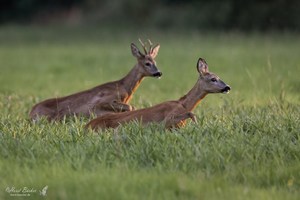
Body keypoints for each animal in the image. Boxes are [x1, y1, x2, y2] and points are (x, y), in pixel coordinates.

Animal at [29, 39, 162, 120]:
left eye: (155, 62)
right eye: (147, 63)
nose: (159, 72)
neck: (124, 88)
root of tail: (30, 113)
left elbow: (132, 108)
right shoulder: (101, 101)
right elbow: (131, 107)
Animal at [85, 57, 231, 130]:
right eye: (213, 79)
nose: (227, 87)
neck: (183, 104)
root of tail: (87, 126)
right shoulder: (167, 120)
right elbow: (191, 114)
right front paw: (197, 125)